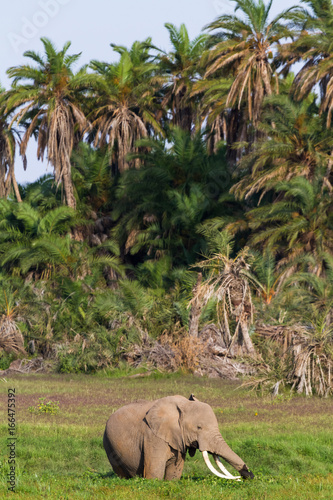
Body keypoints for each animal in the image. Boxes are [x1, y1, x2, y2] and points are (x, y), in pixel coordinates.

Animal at [102, 394, 253, 480]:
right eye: (199, 427)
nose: (249, 474)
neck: (183, 404)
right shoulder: (152, 436)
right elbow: (154, 474)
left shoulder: (178, 439)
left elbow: (175, 472)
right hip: (109, 444)